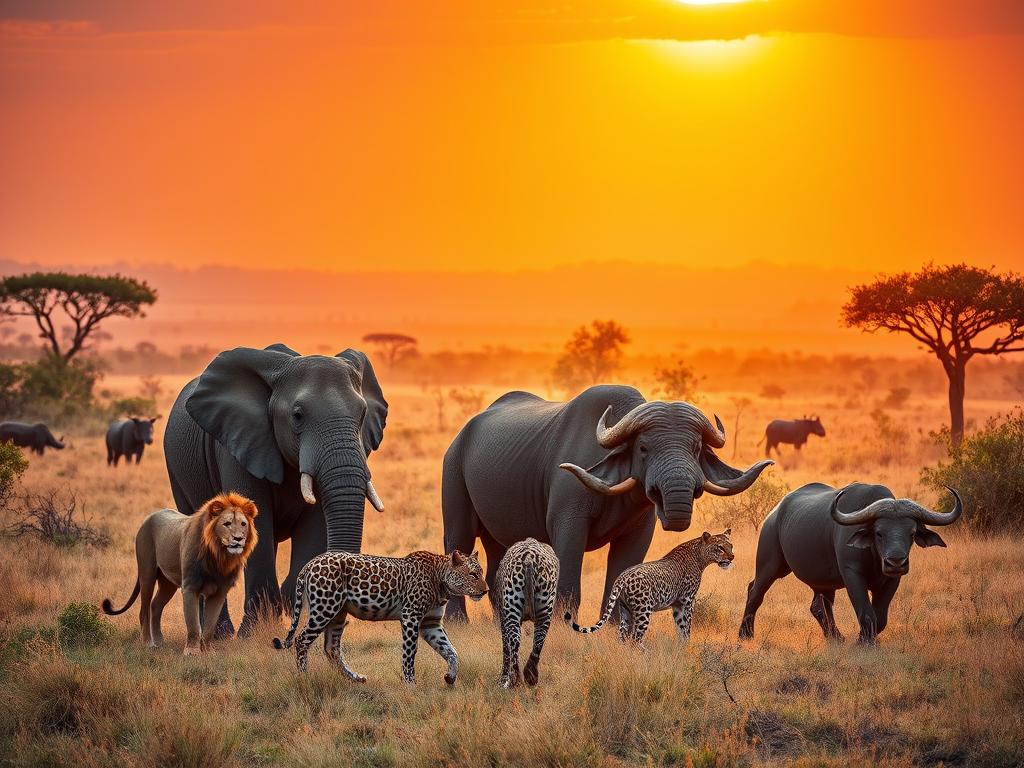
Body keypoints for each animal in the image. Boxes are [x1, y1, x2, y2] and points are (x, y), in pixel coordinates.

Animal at [102, 492, 258, 655]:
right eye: (227, 524)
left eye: (243, 524)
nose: (238, 538)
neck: (219, 556)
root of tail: (150, 516)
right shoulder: (190, 587)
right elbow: (194, 625)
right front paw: (192, 651)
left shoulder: (219, 592)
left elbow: (209, 626)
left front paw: (208, 651)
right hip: (147, 574)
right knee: (144, 611)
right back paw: (148, 643)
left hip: (168, 583)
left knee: (155, 605)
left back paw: (159, 642)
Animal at [163, 343, 388, 636]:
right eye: (297, 416)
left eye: (362, 415)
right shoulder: (238, 443)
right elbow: (254, 521)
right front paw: (253, 635)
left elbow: (315, 526)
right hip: (176, 470)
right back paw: (218, 636)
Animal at [442, 385, 773, 621]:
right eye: (643, 448)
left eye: (696, 447)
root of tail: (459, 438)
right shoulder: (569, 526)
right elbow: (569, 584)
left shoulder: (639, 533)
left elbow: (621, 575)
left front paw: (616, 628)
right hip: (456, 506)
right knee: (458, 547)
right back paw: (459, 622)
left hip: (499, 537)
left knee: (497, 572)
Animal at [739, 482, 962, 644]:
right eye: (879, 532)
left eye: (912, 533)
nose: (895, 562)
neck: (874, 557)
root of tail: (774, 513)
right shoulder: (852, 574)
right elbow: (866, 613)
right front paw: (864, 643)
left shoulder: (892, 580)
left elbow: (880, 618)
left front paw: (866, 638)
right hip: (770, 564)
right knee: (755, 591)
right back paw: (745, 634)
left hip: (823, 581)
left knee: (818, 606)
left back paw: (835, 637)